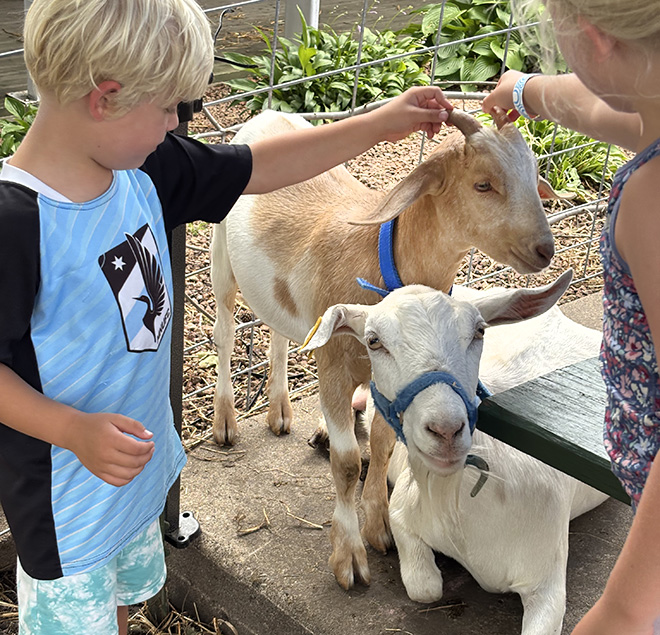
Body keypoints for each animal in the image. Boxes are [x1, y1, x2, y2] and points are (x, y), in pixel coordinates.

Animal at [211, 107, 556, 589]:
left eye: (534, 176)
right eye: (483, 184)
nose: (545, 249)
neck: (379, 257)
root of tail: (268, 113)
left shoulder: (396, 382)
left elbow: (383, 442)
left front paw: (379, 528)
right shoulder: (335, 367)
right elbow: (347, 463)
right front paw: (350, 559)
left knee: (278, 330)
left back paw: (280, 410)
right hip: (221, 256)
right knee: (224, 330)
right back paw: (225, 421)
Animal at [301, 270, 608, 635]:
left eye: (480, 331)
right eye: (373, 341)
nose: (446, 430)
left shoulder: (547, 584)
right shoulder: (403, 510)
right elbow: (426, 587)